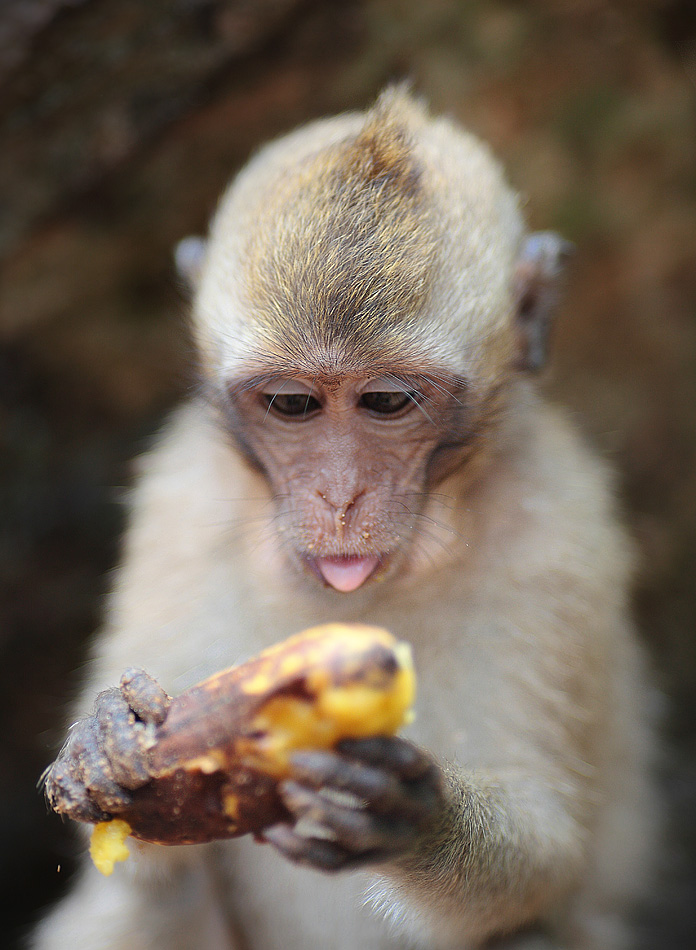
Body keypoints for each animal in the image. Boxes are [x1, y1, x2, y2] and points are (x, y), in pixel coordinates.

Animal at [32, 87, 656, 950]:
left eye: (387, 401)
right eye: (292, 404)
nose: (339, 499)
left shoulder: (560, 527)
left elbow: (551, 851)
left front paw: (414, 817)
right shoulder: (179, 502)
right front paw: (110, 746)